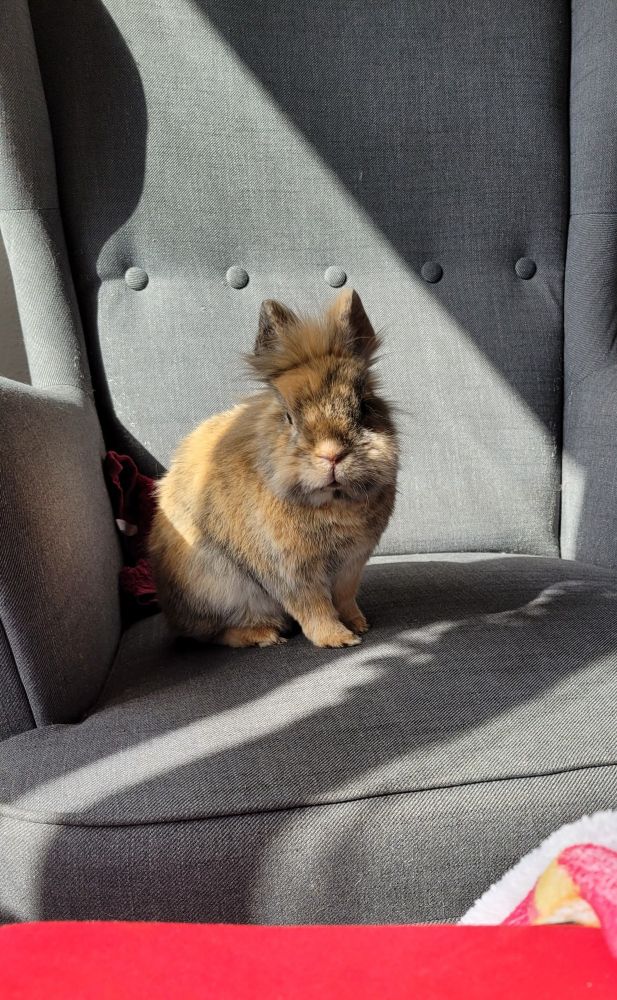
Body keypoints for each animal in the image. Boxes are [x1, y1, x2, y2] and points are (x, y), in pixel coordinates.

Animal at [149, 289, 398, 649]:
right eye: (289, 417)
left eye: (365, 406)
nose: (332, 454)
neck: (331, 502)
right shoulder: (291, 573)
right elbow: (315, 608)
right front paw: (339, 640)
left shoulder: (351, 567)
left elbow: (344, 599)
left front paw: (358, 625)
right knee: (213, 632)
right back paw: (263, 635)